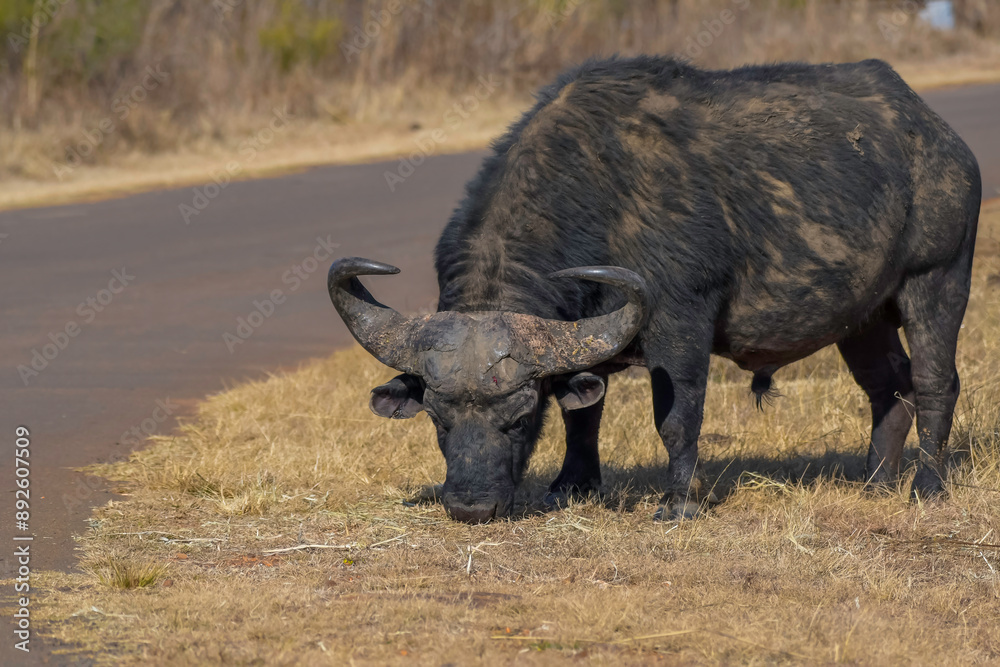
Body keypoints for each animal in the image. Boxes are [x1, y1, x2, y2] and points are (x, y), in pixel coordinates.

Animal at [328, 56, 981, 523]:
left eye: (519, 416)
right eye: (438, 420)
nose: (470, 505)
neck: (597, 193)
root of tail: (943, 140)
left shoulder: (679, 323)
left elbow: (677, 416)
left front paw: (679, 501)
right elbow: (583, 416)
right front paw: (572, 485)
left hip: (938, 279)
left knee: (934, 382)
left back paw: (925, 485)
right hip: (863, 317)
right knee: (888, 387)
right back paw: (874, 481)